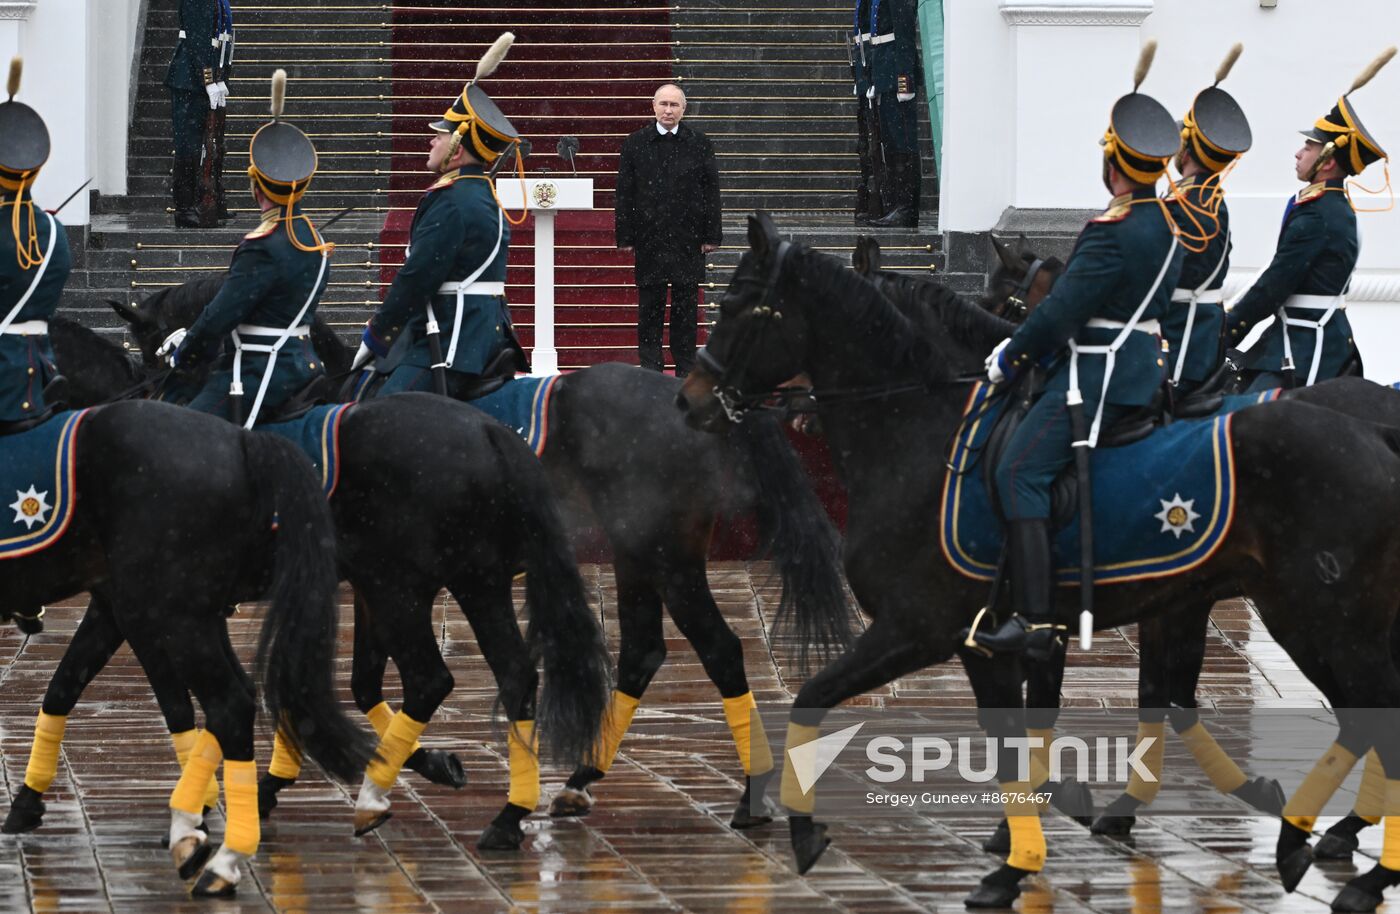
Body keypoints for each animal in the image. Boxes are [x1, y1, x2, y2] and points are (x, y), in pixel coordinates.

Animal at [0, 397, 378, 890]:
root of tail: (241, 439)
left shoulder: (132, 611)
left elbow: (172, 704)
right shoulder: (112, 605)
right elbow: (65, 688)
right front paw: (28, 799)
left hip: (178, 615)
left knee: (231, 704)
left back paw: (221, 855)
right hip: (185, 612)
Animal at [10, 317, 613, 851]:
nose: (25, 613)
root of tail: (487, 429)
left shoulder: (139, 605)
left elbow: (165, 698)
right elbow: (346, 685)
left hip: (405, 586)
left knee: (431, 679)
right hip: (469, 581)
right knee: (512, 674)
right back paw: (510, 811)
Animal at [112, 274, 851, 823]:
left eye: (154, 352)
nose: (148, 399)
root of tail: (696, 399)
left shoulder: (381, 576)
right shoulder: (380, 578)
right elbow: (362, 679)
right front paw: (403, 764)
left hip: (667, 557)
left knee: (718, 651)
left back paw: (746, 797)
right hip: (637, 555)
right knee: (642, 653)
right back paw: (578, 779)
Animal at [680, 209, 1400, 907]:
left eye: (734, 305)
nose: (689, 399)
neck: (925, 431)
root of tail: (1373, 433)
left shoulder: (922, 628)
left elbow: (815, 696)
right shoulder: (999, 637)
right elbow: (1041, 727)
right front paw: (1023, 847)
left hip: (1319, 618)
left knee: (1372, 713)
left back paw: (1349, 859)